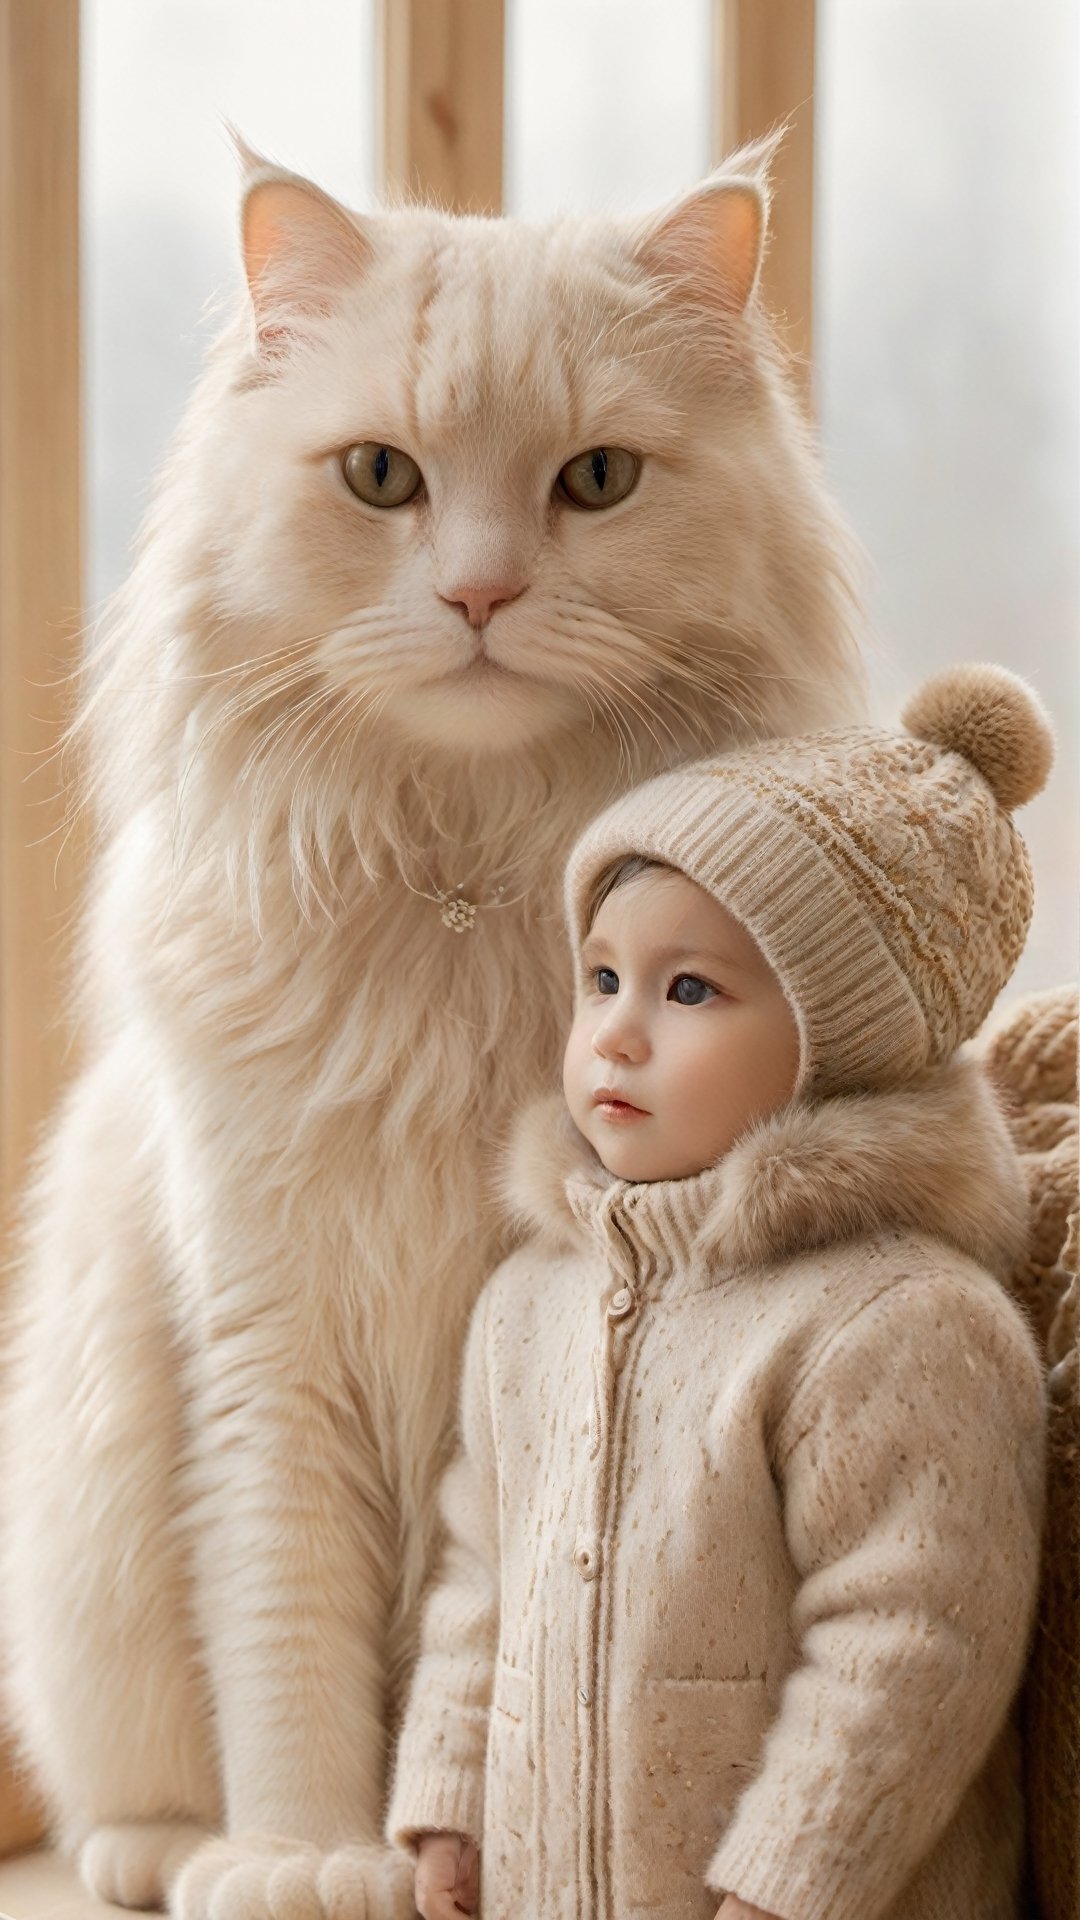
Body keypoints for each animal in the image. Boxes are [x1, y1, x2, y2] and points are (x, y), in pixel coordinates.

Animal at [0, 139, 857, 1920]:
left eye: (597, 480)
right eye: (381, 477)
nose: (479, 592)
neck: (463, 883)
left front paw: (420, 1858)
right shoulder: (267, 1342)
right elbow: (289, 1639)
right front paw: (307, 1860)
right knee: (127, 1792)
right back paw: (166, 1857)